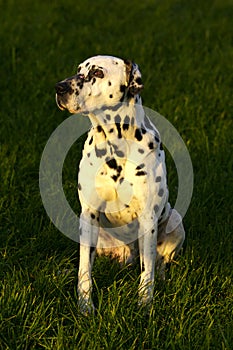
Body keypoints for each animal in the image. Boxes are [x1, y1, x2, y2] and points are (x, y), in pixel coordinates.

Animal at [55, 55, 186, 314]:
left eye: (97, 72)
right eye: (78, 70)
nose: (59, 87)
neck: (114, 145)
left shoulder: (148, 218)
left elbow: (148, 272)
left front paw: (144, 306)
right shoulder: (88, 214)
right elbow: (84, 269)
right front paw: (85, 307)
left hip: (175, 221)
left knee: (160, 262)